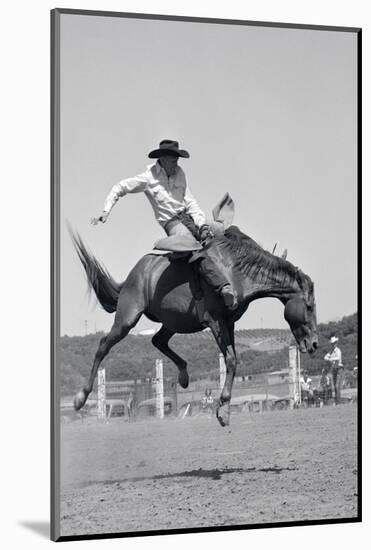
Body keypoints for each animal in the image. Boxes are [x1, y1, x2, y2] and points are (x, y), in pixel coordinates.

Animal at [70, 196, 320, 430]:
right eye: (309, 306)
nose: (314, 343)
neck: (236, 270)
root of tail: (134, 274)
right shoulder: (216, 321)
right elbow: (231, 360)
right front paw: (223, 410)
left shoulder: (229, 322)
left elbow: (232, 359)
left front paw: (223, 409)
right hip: (127, 317)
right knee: (104, 344)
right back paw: (80, 397)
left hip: (172, 321)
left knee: (158, 340)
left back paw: (183, 375)